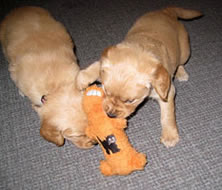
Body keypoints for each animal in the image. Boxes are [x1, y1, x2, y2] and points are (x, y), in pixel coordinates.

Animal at [80, 6, 202, 148]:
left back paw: (181, 73)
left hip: (185, 51)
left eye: (130, 101)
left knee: (180, 62)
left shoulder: (167, 92)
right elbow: (97, 65)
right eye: (105, 91)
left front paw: (170, 136)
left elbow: (167, 115)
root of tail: (166, 11)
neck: (142, 45)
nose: (110, 115)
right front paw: (81, 79)